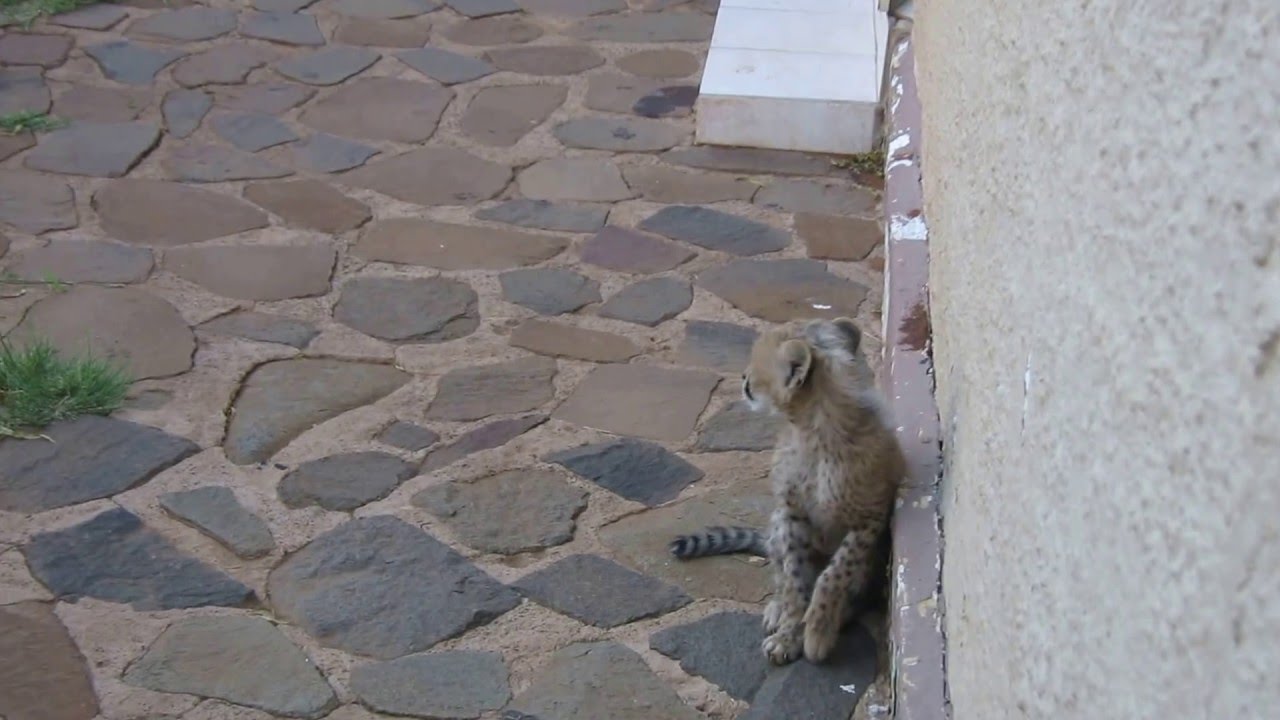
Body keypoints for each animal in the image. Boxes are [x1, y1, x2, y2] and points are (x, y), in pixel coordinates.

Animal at [669, 317, 905, 665]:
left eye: (757, 364)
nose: (743, 378)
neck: (816, 429)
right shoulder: (793, 515)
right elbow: (794, 579)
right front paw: (789, 632)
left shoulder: (869, 519)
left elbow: (835, 573)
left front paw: (818, 629)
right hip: (778, 522)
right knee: (779, 573)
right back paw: (777, 609)